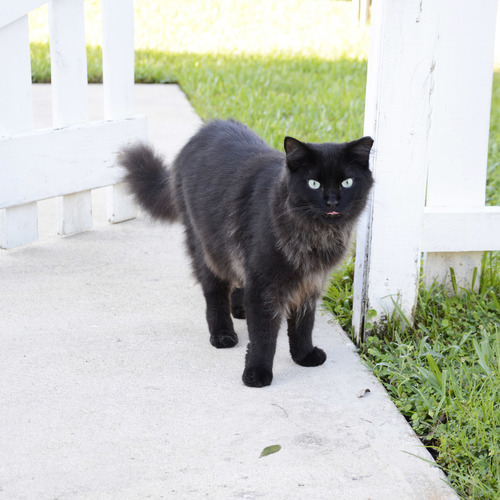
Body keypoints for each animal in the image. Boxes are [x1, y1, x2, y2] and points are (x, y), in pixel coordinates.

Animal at [119, 119, 374, 388]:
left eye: (347, 182)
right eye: (313, 183)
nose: (332, 201)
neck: (315, 235)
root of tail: (204, 130)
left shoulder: (309, 283)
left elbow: (303, 325)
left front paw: (303, 355)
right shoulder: (265, 284)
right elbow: (263, 336)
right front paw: (257, 373)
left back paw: (239, 309)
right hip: (207, 248)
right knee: (214, 294)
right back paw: (222, 334)